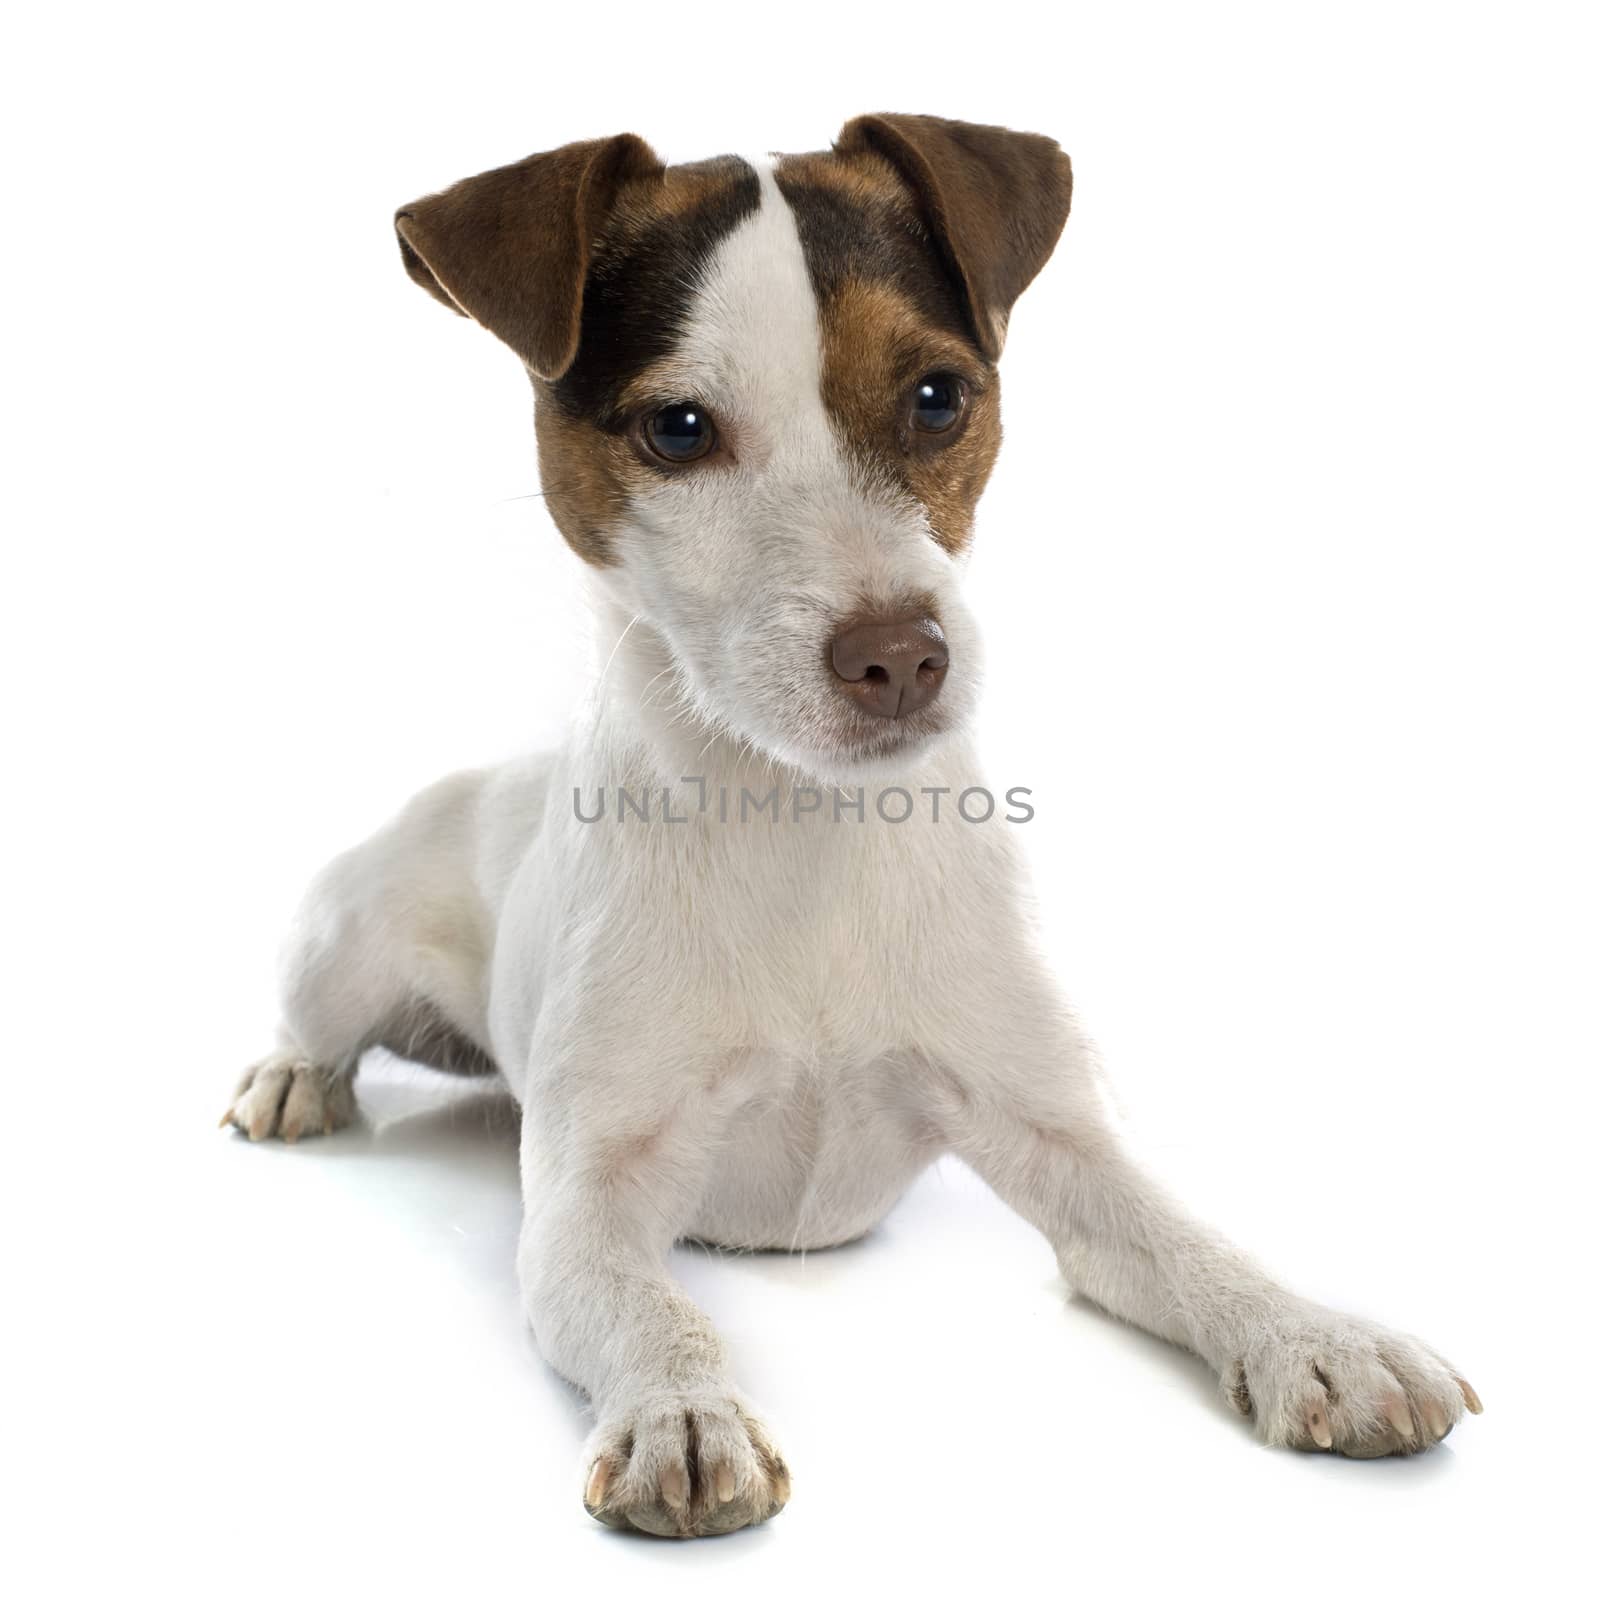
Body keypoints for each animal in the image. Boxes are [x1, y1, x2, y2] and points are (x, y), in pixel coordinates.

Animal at [219, 116, 1478, 1536]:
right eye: (677, 429)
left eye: (936, 396)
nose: (902, 658)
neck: (803, 828)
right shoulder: (586, 1209)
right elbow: (652, 1310)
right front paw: (682, 1409)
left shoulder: (1063, 1142)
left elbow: (1186, 1237)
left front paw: (1316, 1333)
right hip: (345, 940)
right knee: (315, 1022)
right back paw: (289, 1079)